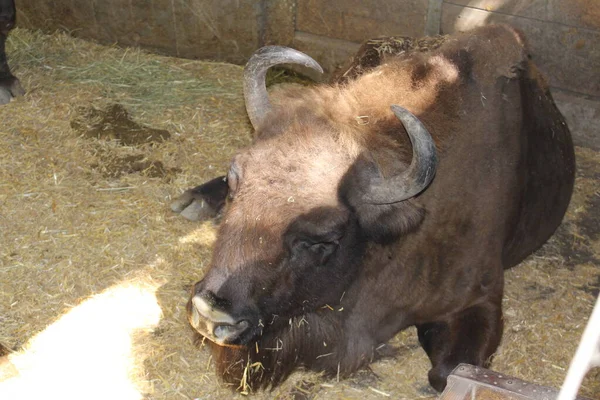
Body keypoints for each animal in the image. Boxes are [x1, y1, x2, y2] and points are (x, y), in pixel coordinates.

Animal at [177, 24, 576, 390]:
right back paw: (194, 200)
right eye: (236, 187)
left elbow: (445, 373)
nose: (210, 316)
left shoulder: (480, 300)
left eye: (324, 239)